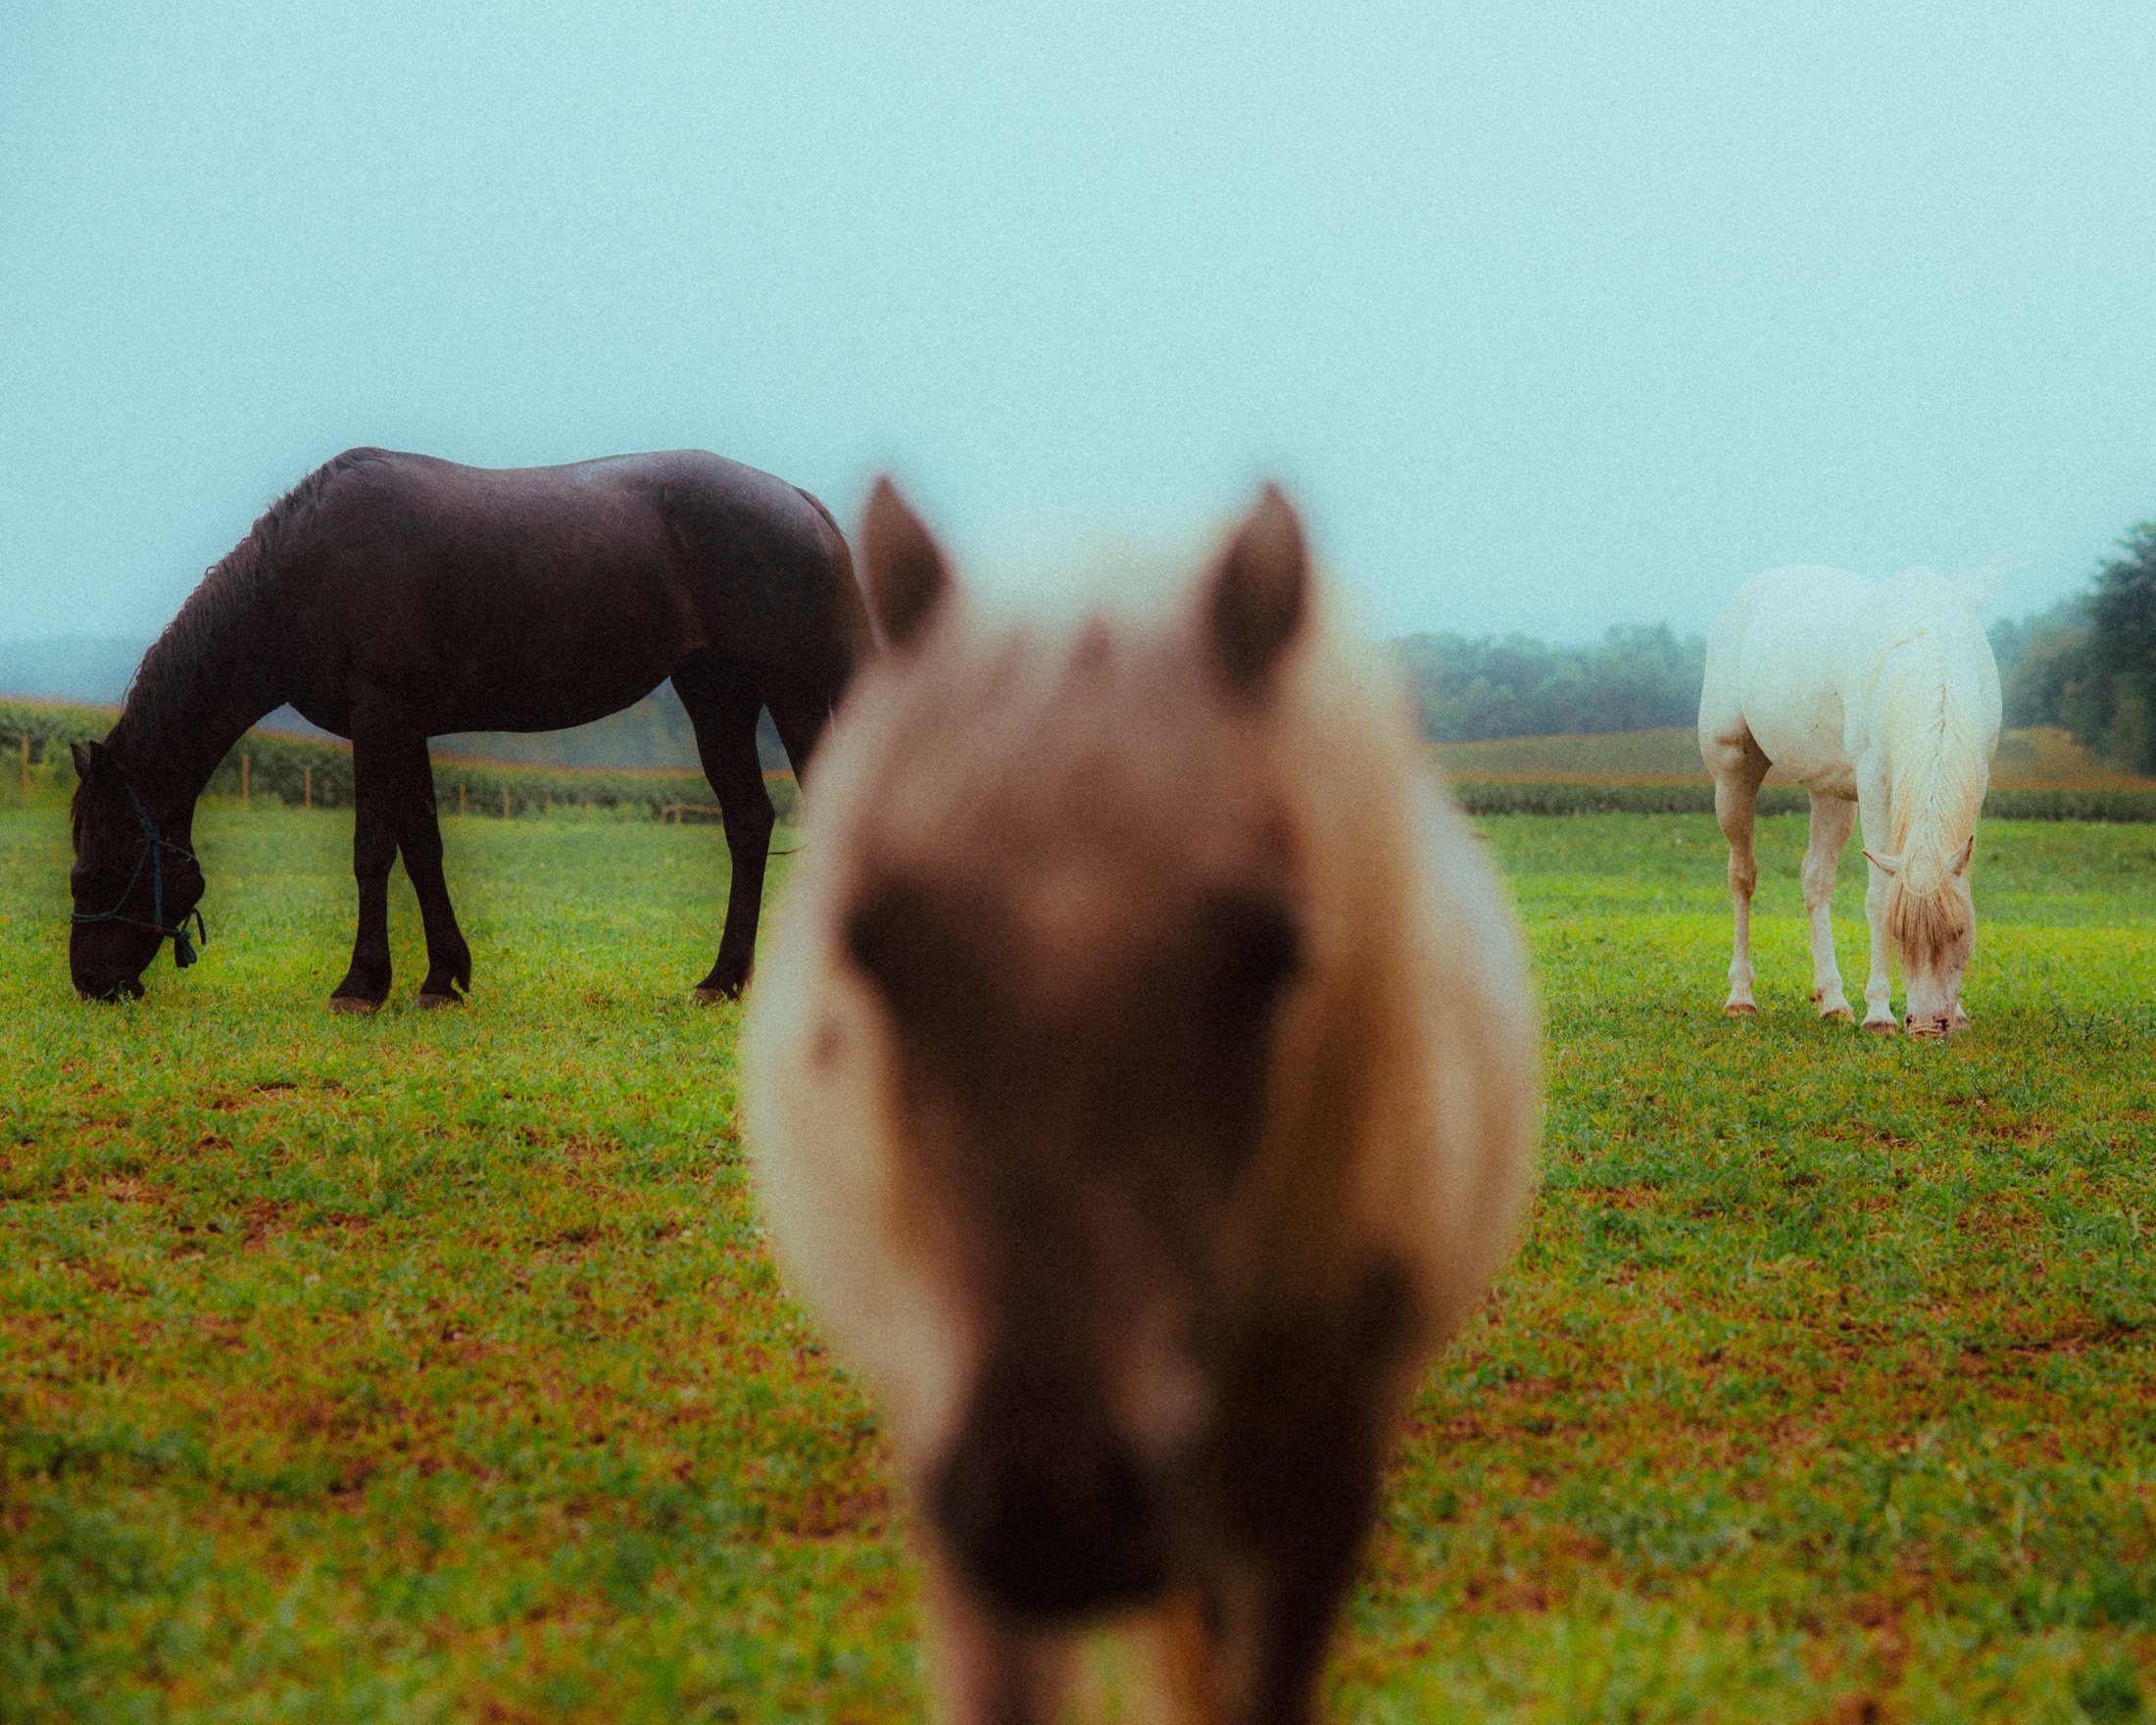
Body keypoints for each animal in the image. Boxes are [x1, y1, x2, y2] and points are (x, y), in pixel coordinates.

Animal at [68, 447, 866, 1008]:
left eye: (96, 867)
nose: (90, 983)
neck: (302, 575)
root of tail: (799, 503)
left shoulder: (377, 716)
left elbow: (372, 848)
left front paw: (360, 986)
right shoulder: (403, 725)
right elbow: (422, 844)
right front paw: (442, 978)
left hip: (794, 695)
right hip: (716, 695)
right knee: (748, 822)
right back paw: (722, 979)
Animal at [1699, 564, 2002, 1036]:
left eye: (1958, 933)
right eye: (1900, 935)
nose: (1928, 1027)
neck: (1931, 653)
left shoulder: (1978, 778)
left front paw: (1960, 1012)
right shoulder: (1875, 781)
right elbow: (1878, 895)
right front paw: (1879, 1013)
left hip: (1831, 794)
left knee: (1816, 880)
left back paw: (1833, 1001)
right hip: (1733, 773)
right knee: (1742, 876)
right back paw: (1741, 997)